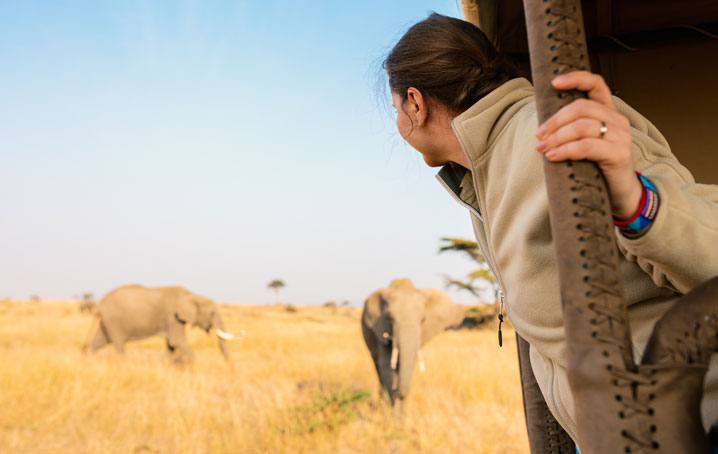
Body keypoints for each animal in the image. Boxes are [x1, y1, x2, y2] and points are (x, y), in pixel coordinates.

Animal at [84, 285, 242, 362]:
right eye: (212, 313)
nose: (230, 365)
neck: (192, 295)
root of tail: (100, 304)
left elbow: (171, 346)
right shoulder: (173, 316)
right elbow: (177, 341)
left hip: (107, 322)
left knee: (99, 341)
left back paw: (88, 362)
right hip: (114, 321)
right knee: (118, 344)